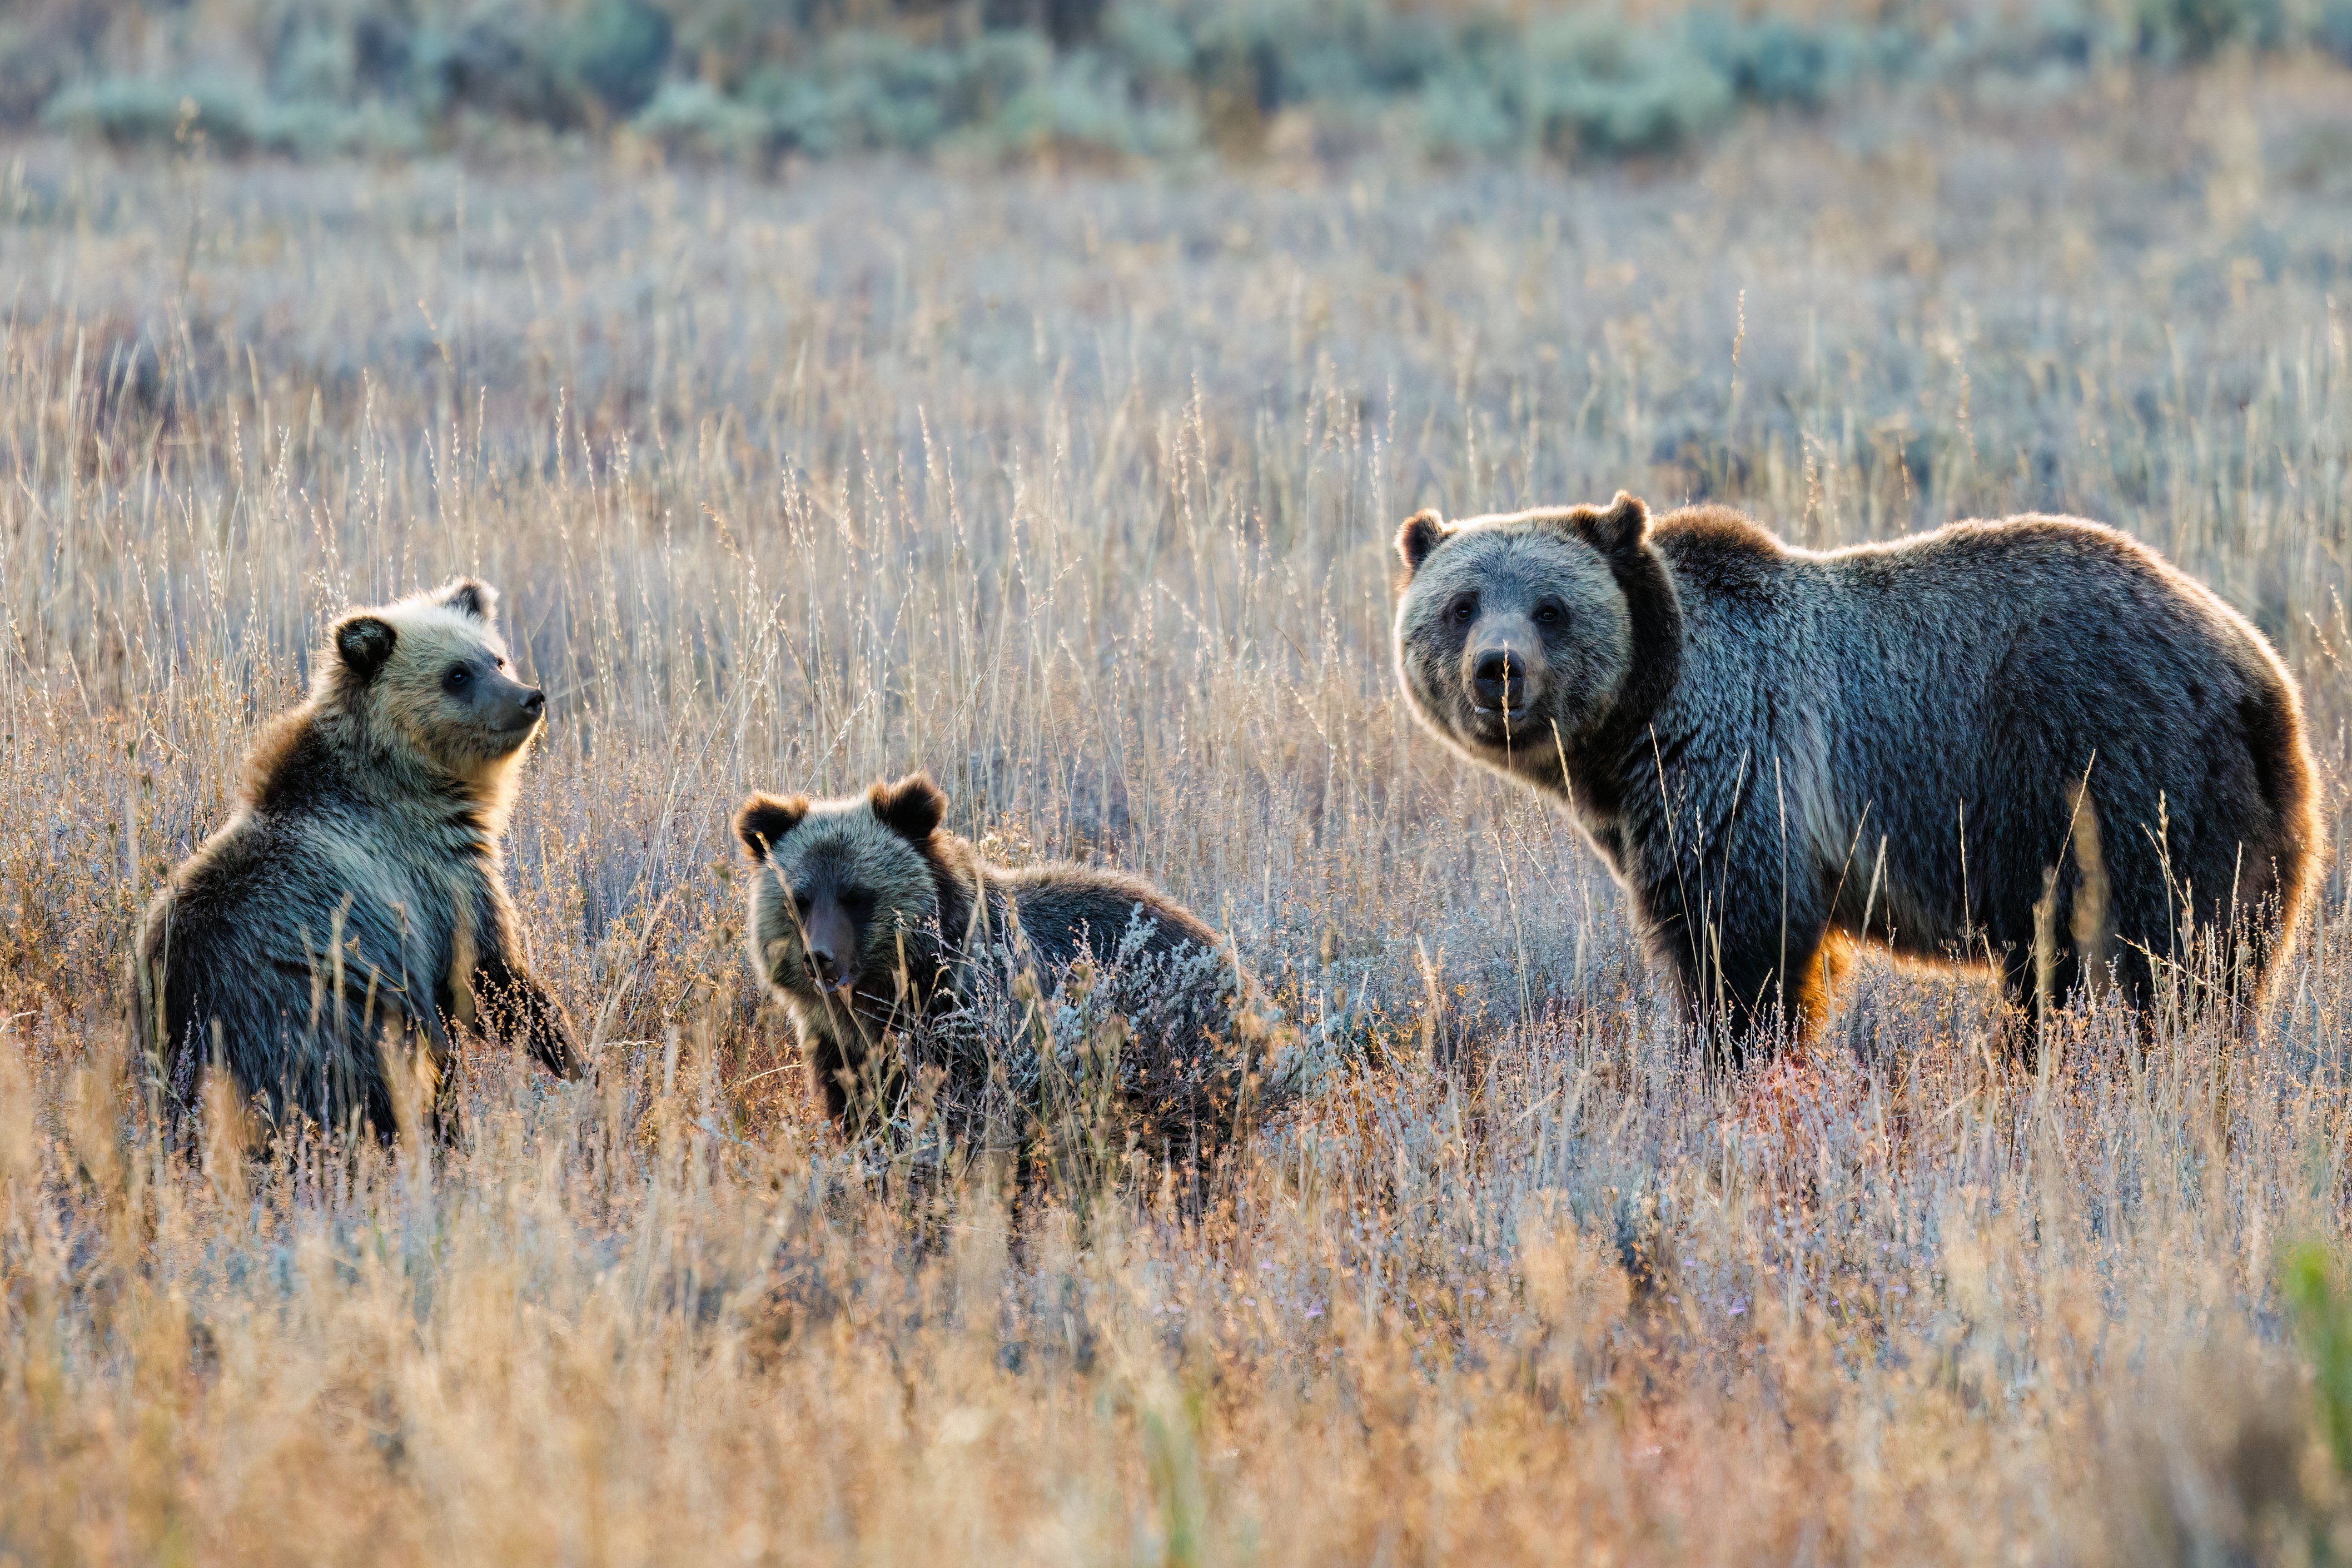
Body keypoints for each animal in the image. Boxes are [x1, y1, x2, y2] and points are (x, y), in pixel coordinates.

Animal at [131, 578, 584, 1136]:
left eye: (496, 658)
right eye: (457, 674)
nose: (529, 697)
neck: (407, 778)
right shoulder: (438, 879)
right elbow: (490, 977)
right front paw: (576, 1059)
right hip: (318, 1007)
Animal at [733, 772, 1283, 1159]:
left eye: (856, 895)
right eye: (800, 898)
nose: (820, 957)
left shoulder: (971, 1034)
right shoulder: (841, 1052)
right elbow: (860, 1118)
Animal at [1392, 491, 2320, 1060]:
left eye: (1550, 608)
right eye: (1460, 603)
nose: (1498, 671)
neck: (1641, 723)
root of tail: (2261, 677)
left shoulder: (1744, 769)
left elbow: (1741, 952)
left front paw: (1729, 1062)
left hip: (2122, 781)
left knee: (2165, 966)